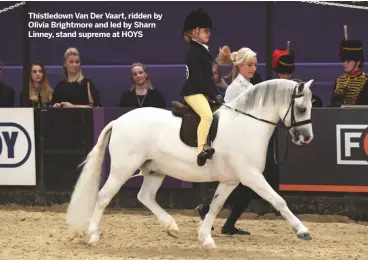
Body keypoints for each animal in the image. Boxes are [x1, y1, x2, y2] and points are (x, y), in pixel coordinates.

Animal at [65, 78, 314, 250]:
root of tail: (118, 120)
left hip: (155, 170)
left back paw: (171, 227)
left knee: (145, 196)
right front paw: (302, 231)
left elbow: (215, 206)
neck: (247, 124)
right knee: (104, 196)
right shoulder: (251, 176)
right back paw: (93, 236)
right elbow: (278, 200)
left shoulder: (231, 180)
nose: (306, 138)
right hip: (122, 170)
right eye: (301, 108)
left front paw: (206, 239)